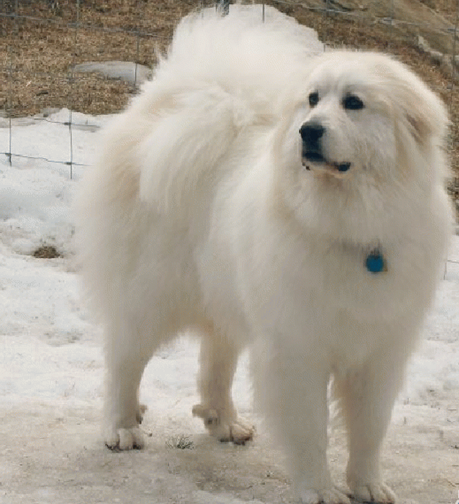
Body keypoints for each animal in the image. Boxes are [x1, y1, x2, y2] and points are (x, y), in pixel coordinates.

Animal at [75, 4, 452, 504]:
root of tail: (159, 111)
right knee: (124, 358)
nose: (308, 131)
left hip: (225, 291)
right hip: (150, 293)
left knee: (215, 361)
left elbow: (370, 428)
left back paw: (224, 422)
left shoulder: (380, 352)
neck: (349, 223)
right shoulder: (298, 350)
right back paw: (121, 427)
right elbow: (312, 430)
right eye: (312, 99)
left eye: (353, 102)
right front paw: (319, 490)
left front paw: (368, 485)